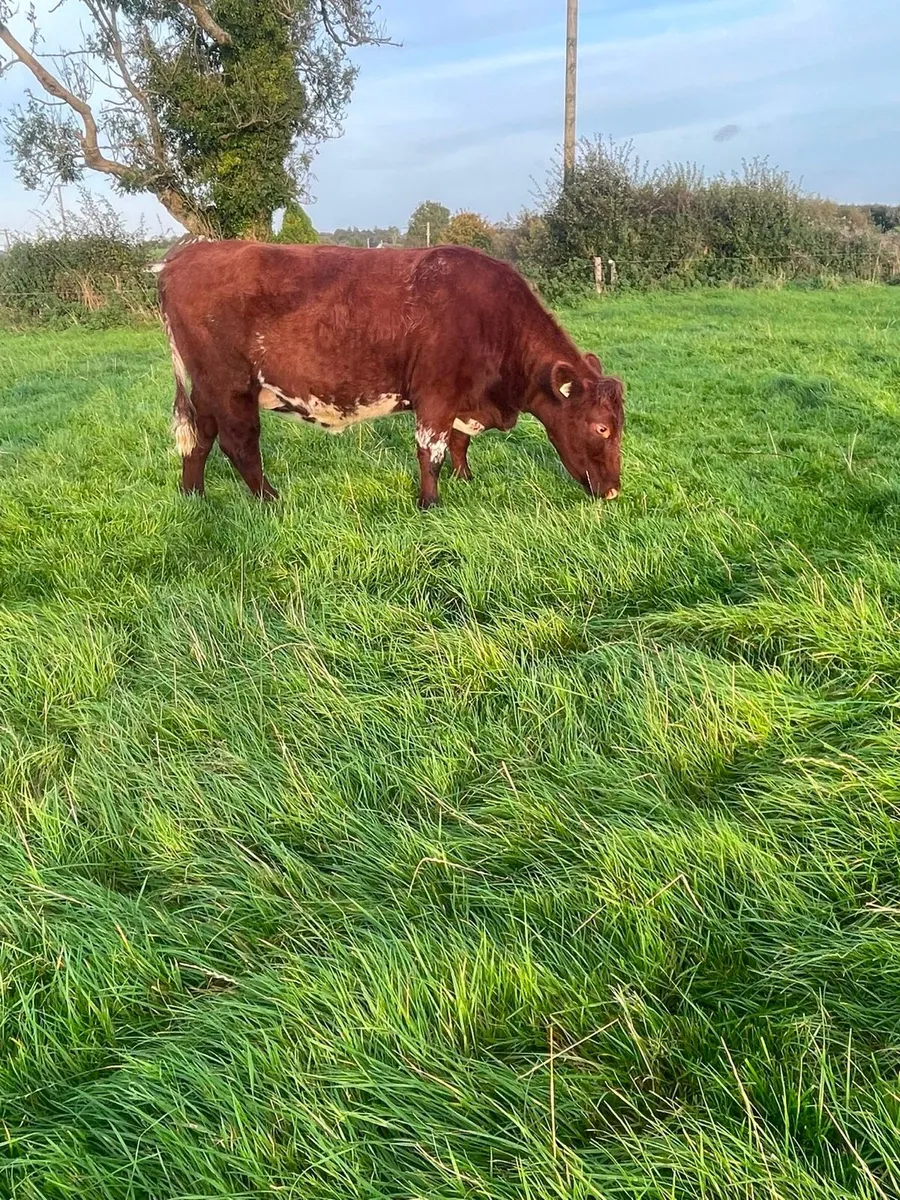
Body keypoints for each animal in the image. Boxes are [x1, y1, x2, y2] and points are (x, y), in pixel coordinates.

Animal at [156, 241, 624, 509]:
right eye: (600, 428)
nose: (614, 490)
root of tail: (183, 256)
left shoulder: (463, 400)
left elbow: (460, 442)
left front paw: (466, 479)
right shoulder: (435, 394)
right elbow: (432, 451)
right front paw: (431, 502)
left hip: (207, 387)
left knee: (200, 438)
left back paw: (193, 495)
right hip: (231, 383)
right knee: (239, 444)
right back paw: (271, 500)